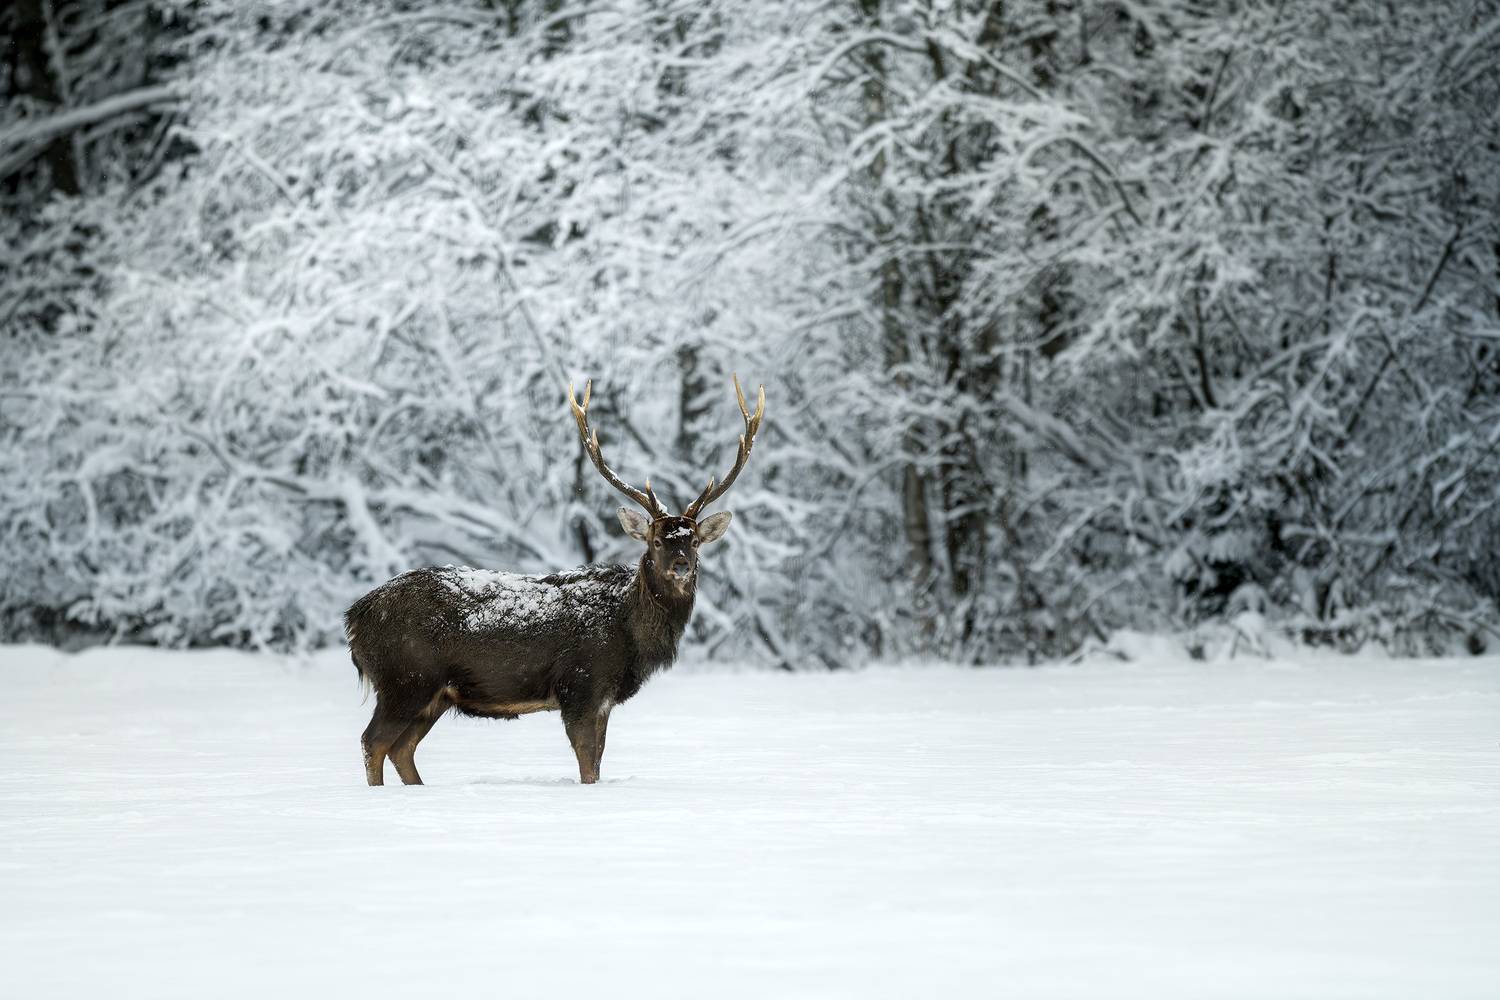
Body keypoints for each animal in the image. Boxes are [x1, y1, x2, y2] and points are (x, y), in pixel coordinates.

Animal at [344, 375, 765, 786]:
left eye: (694, 541)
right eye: (657, 540)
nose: (680, 565)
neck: (629, 631)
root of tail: (355, 616)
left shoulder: (602, 698)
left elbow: (598, 762)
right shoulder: (580, 684)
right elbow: (588, 767)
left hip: (433, 694)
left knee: (401, 749)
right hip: (405, 677)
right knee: (372, 742)